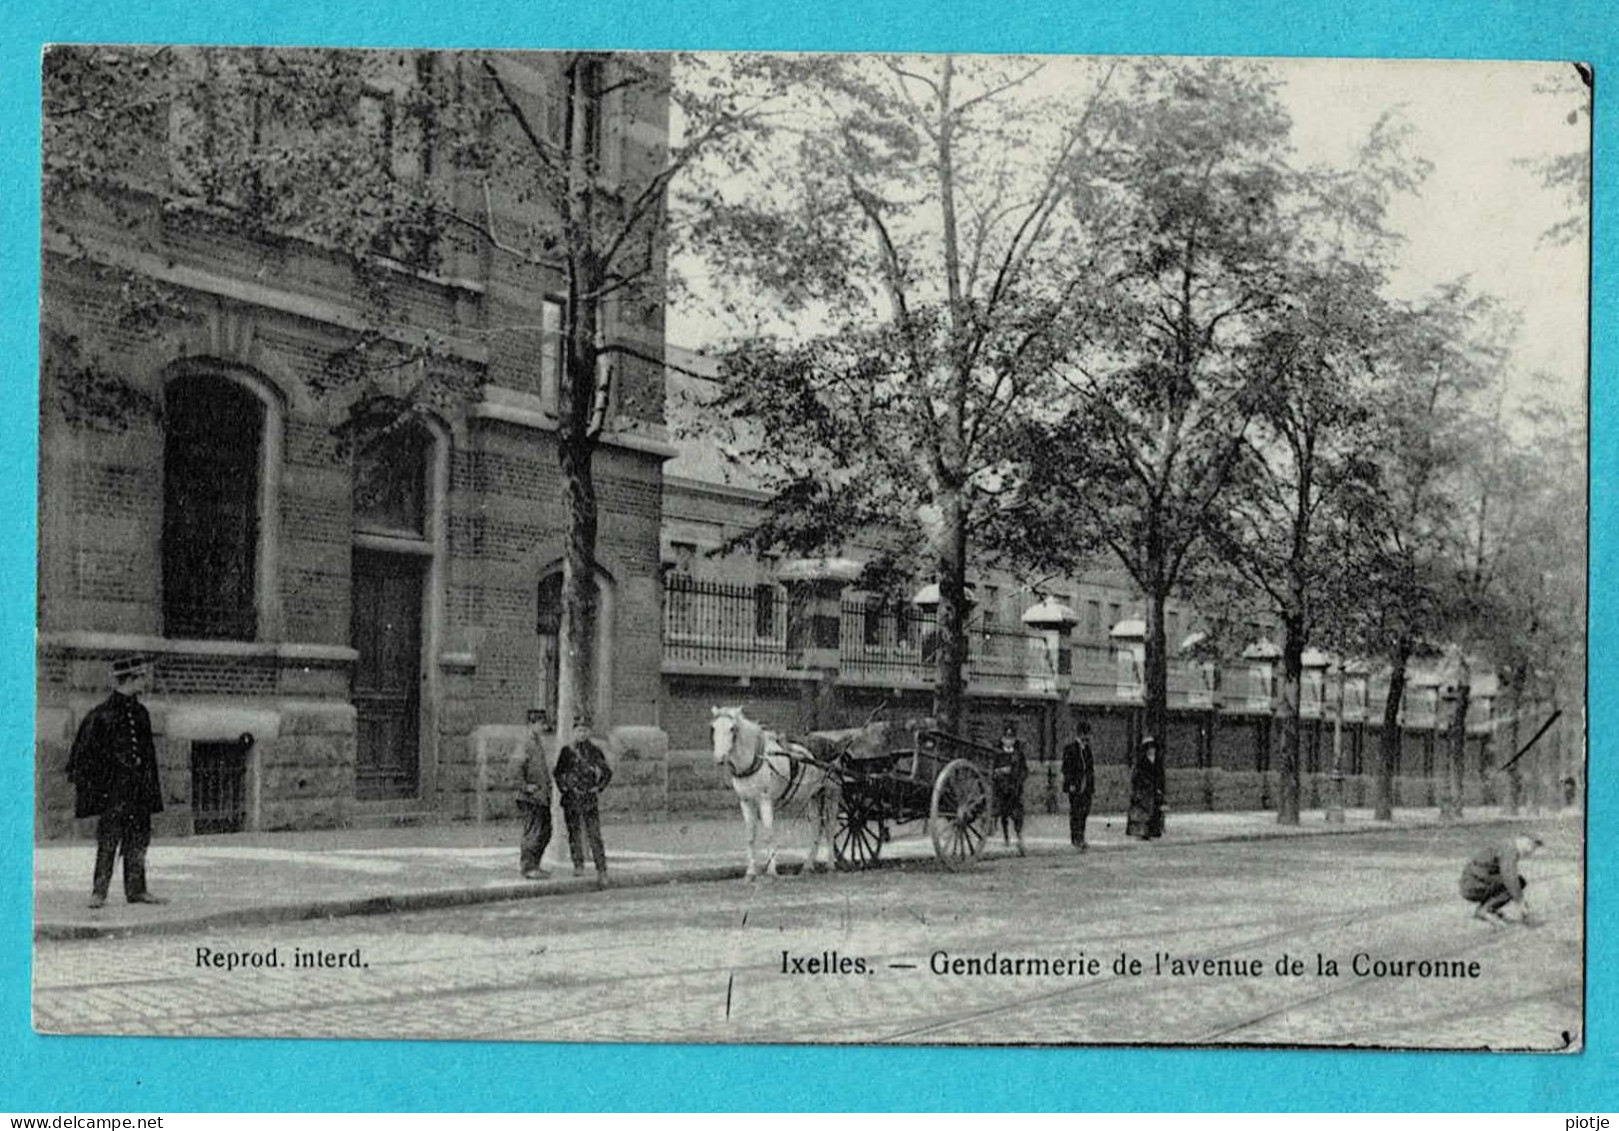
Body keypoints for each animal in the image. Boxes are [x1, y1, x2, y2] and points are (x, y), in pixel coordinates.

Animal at [712, 702, 841, 880]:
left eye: (732, 728)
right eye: (713, 728)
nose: (719, 757)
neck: (756, 758)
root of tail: (833, 744)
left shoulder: (765, 800)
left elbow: (768, 834)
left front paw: (772, 871)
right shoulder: (745, 802)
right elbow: (750, 836)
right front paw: (751, 872)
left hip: (831, 793)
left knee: (829, 827)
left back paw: (830, 865)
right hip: (814, 795)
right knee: (816, 826)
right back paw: (808, 866)